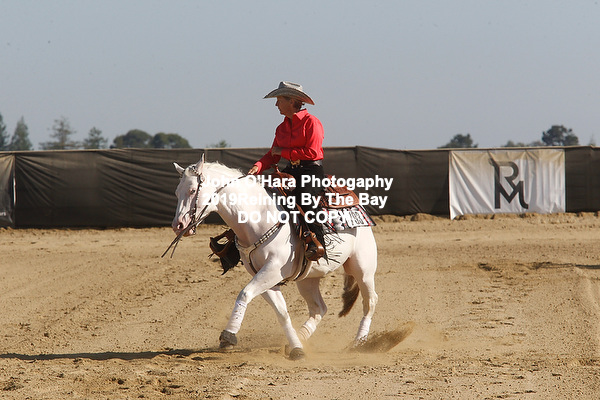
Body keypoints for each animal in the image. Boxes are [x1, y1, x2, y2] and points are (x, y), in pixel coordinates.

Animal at [170, 157, 378, 360]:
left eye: (192, 190)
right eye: (176, 192)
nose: (178, 225)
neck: (258, 217)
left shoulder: (273, 270)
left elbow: (244, 293)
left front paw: (228, 335)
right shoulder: (265, 275)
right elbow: (282, 312)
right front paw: (296, 348)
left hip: (363, 268)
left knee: (370, 302)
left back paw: (358, 343)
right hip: (307, 279)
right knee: (319, 308)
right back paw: (302, 337)